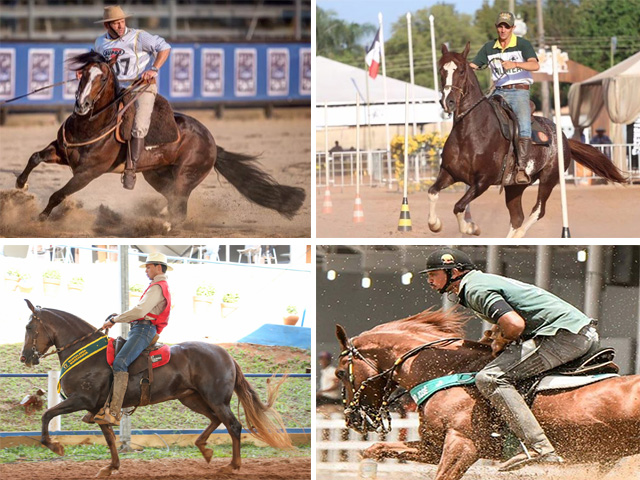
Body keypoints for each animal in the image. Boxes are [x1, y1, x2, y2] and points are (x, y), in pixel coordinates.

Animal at [14, 51, 304, 224]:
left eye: (103, 77)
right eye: (82, 74)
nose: (82, 105)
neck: (92, 124)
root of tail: (212, 143)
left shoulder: (87, 173)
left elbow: (58, 194)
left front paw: (40, 218)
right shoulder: (61, 152)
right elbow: (35, 157)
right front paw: (20, 185)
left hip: (186, 176)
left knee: (180, 208)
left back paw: (163, 225)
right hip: (157, 175)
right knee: (173, 202)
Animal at [18, 300, 292, 476]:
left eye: (29, 327)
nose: (25, 357)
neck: (87, 354)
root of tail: (226, 355)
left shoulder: (82, 399)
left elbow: (47, 415)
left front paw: (55, 445)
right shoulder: (99, 409)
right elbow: (109, 439)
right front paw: (111, 467)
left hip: (215, 399)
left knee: (233, 426)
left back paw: (232, 466)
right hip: (193, 399)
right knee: (216, 420)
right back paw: (205, 449)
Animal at [336, 310, 640, 478]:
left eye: (340, 373)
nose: (352, 419)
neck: (449, 370)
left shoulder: (463, 444)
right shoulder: (433, 447)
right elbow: (375, 450)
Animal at [432, 42, 628, 237]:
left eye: (461, 71)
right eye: (441, 70)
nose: (448, 102)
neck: (469, 133)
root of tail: (564, 138)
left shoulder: (483, 181)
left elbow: (459, 206)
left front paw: (470, 227)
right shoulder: (448, 173)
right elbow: (433, 192)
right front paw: (436, 224)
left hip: (549, 179)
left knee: (537, 211)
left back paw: (521, 234)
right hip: (514, 186)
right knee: (517, 217)